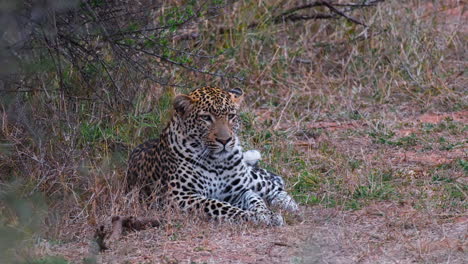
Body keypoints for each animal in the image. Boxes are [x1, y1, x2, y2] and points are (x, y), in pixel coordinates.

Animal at [126, 86, 298, 225]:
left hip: (252, 178)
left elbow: (255, 199)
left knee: (272, 183)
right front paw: (252, 216)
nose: (225, 140)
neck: (216, 162)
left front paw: (267, 214)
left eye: (231, 116)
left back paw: (290, 205)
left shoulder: (238, 191)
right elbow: (218, 205)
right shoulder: (179, 196)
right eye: (206, 118)